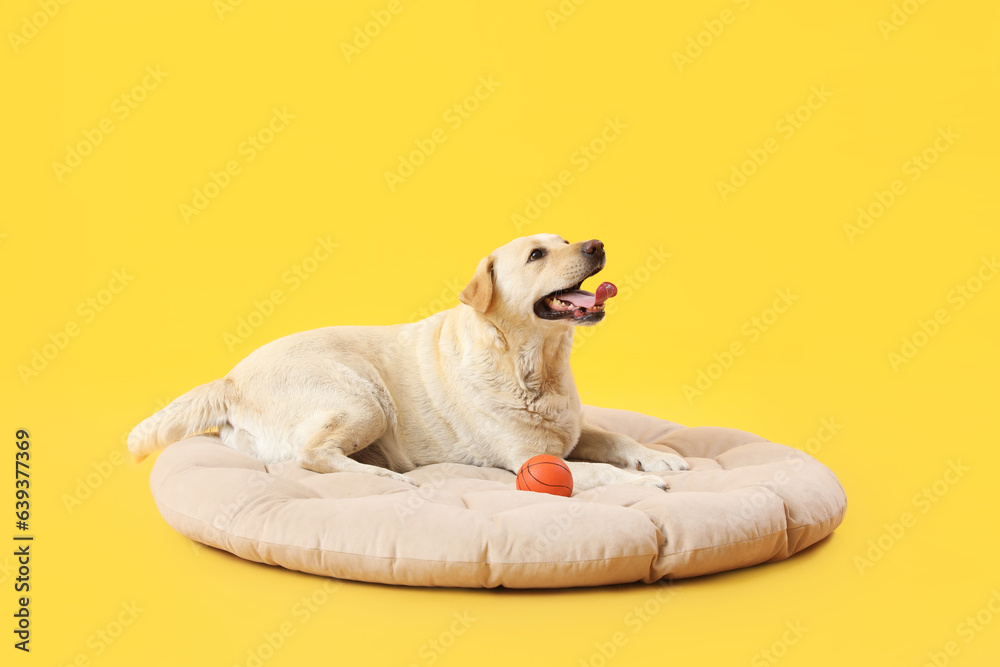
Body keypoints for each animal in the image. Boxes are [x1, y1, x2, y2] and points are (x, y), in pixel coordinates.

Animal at [129, 234, 692, 490]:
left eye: (567, 240)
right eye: (537, 255)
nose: (596, 244)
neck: (534, 365)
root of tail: (229, 379)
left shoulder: (570, 429)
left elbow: (614, 438)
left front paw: (656, 458)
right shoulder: (527, 457)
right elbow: (588, 472)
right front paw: (640, 482)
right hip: (364, 399)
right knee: (314, 456)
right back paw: (383, 477)